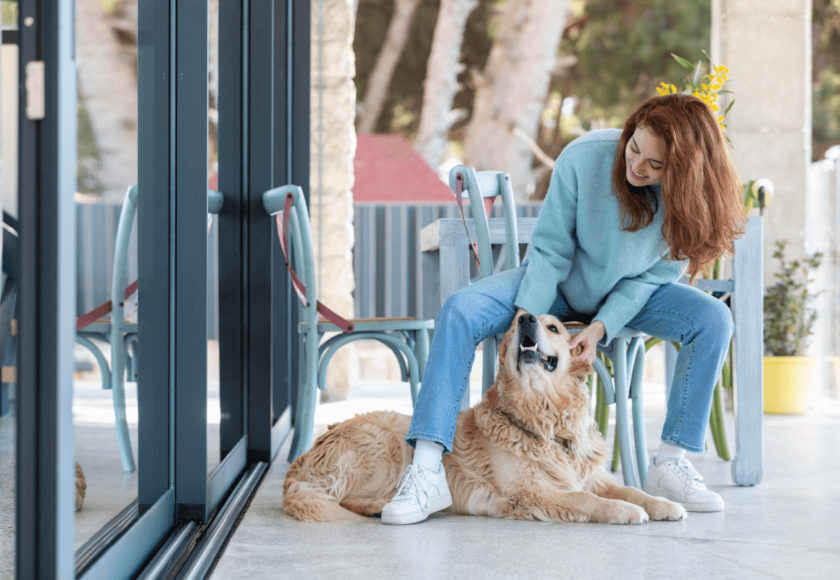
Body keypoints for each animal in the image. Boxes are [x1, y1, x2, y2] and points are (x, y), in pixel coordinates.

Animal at [282, 312, 684, 524]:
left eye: (554, 327)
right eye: (516, 323)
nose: (526, 318)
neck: (545, 422)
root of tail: (302, 460)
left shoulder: (593, 476)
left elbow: (631, 488)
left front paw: (663, 503)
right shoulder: (531, 491)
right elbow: (586, 500)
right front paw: (624, 511)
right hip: (389, 440)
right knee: (342, 500)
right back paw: (386, 506)